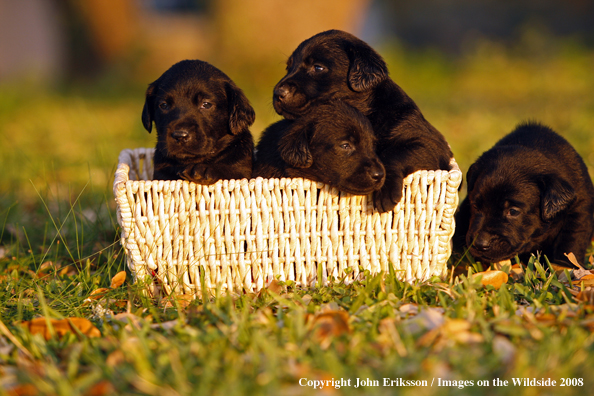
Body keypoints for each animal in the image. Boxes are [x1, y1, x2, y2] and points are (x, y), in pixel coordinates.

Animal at [270, 30, 450, 213]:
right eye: (289, 67)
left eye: (318, 67)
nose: (278, 93)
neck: (370, 113)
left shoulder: (427, 144)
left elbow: (392, 154)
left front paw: (386, 192)